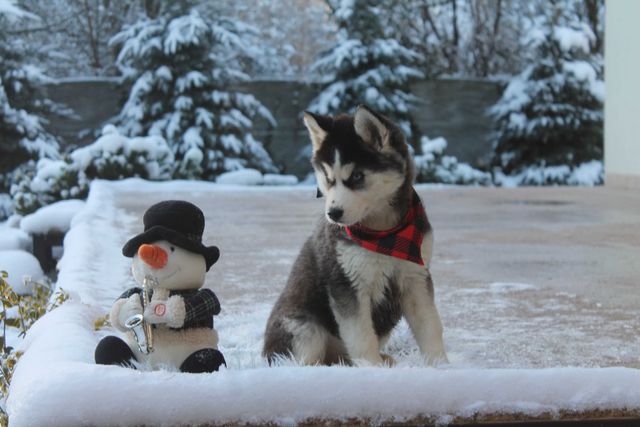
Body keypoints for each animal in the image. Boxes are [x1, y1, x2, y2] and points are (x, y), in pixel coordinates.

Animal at [262, 105, 448, 366]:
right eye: (328, 179)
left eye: (358, 176)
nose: (333, 214)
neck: (384, 234)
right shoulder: (347, 283)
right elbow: (361, 335)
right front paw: (371, 368)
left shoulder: (415, 276)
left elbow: (430, 325)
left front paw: (441, 365)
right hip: (304, 329)